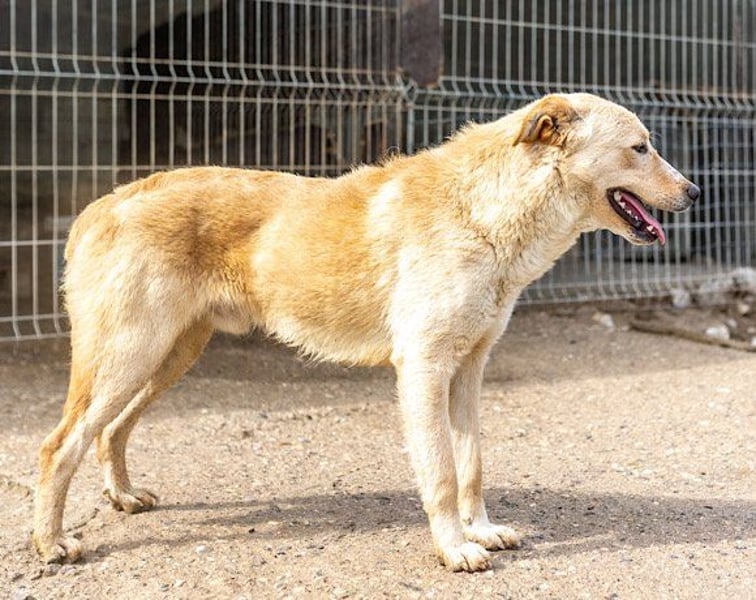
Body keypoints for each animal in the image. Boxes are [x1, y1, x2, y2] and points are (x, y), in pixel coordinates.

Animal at [33, 93, 699, 571]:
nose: (695, 191)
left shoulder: (469, 371)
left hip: (166, 357)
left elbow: (472, 464)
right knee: (58, 446)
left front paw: (480, 530)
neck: (485, 212)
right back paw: (51, 543)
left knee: (110, 432)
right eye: (640, 147)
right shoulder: (424, 368)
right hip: (130, 355)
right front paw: (453, 548)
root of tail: (104, 203)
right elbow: (441, 472)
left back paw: (122, 497)